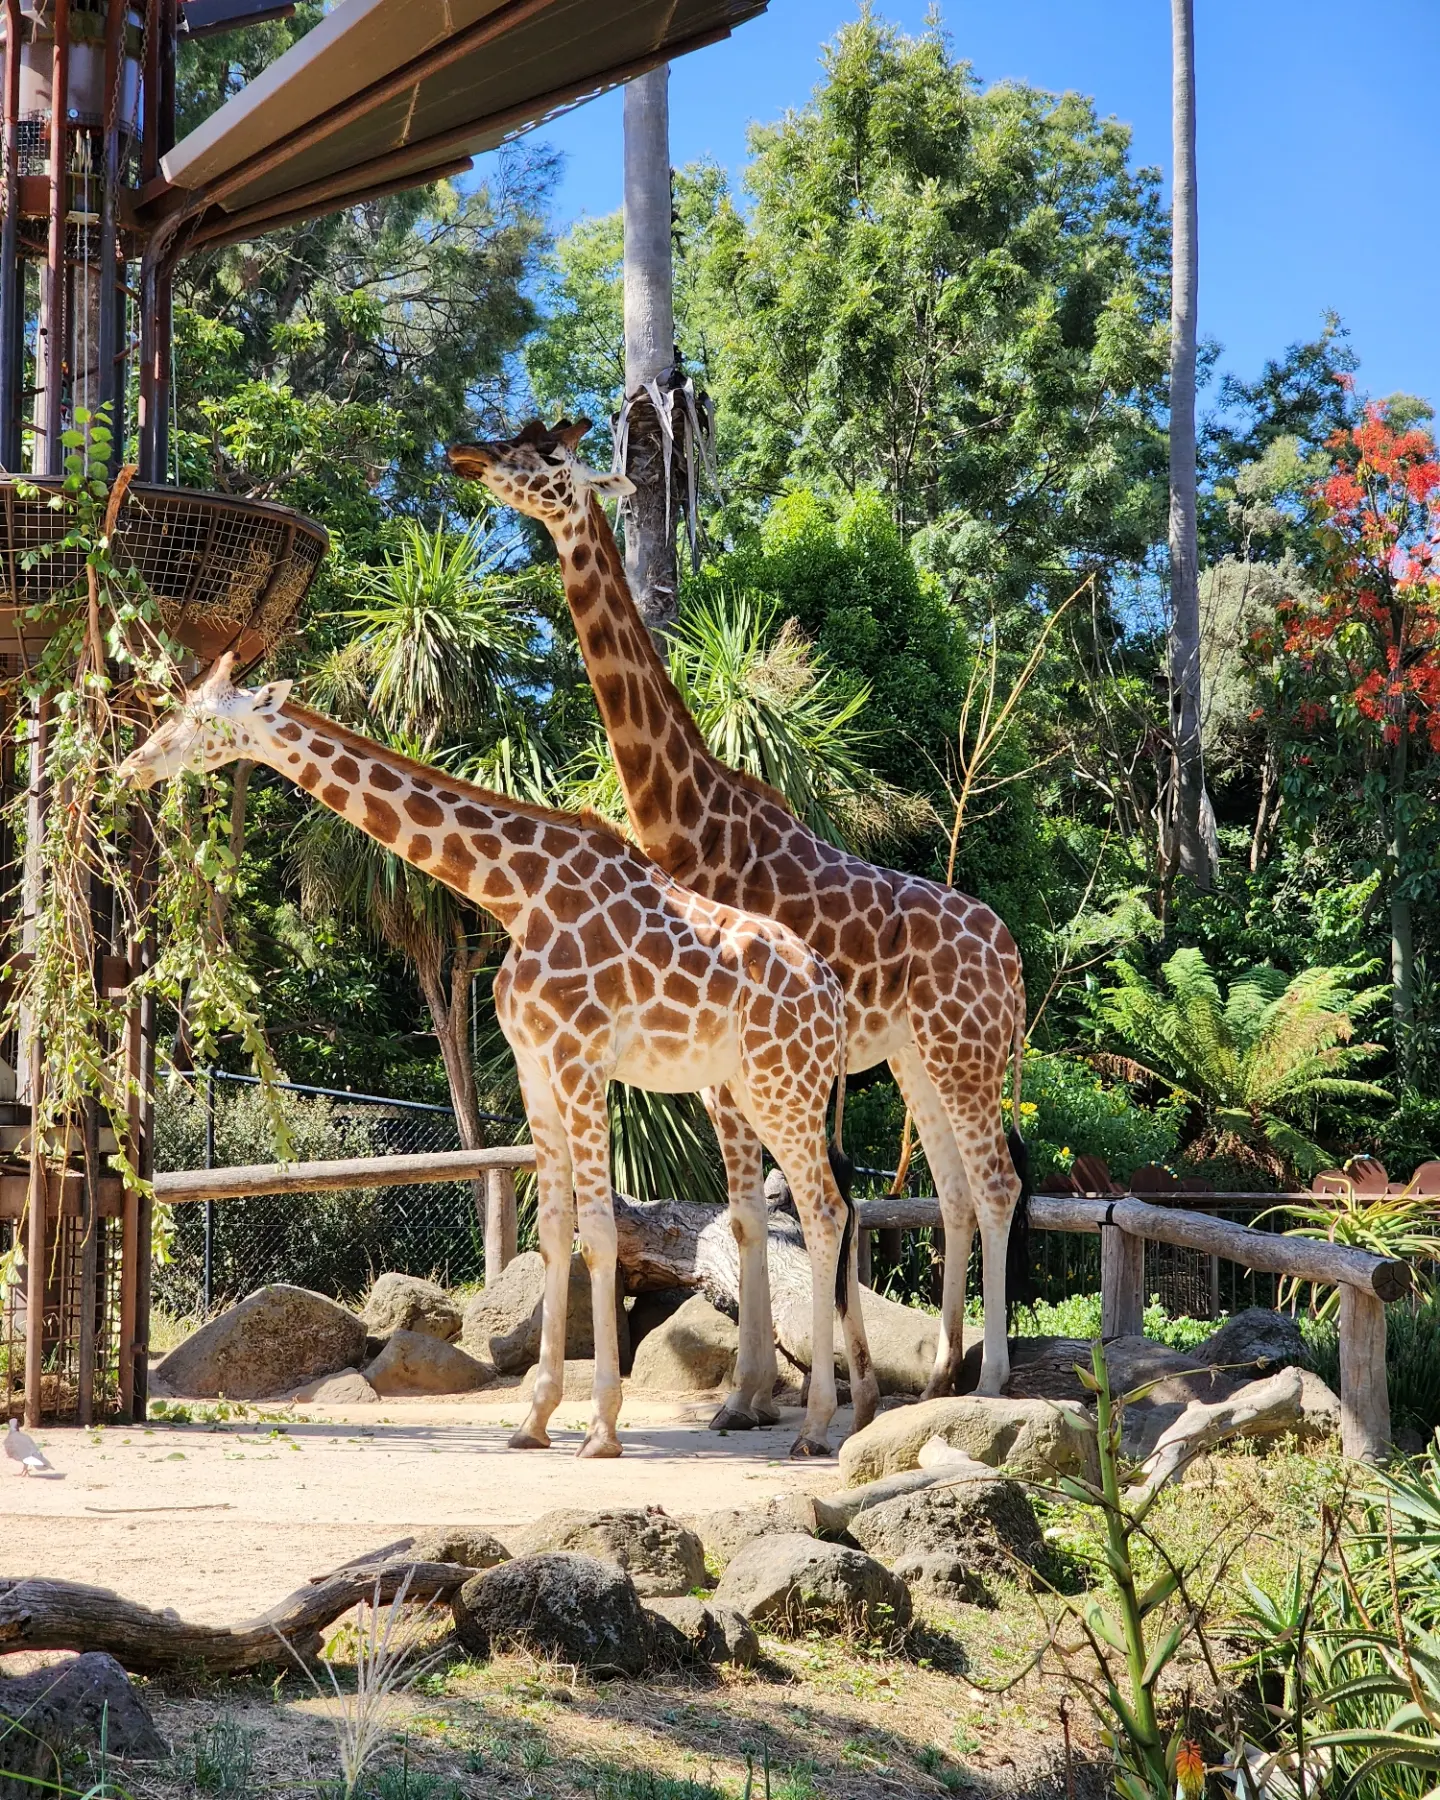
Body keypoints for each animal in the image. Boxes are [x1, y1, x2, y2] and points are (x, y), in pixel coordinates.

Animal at [118, 656, 879, 1458]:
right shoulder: (535, 1067)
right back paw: (846, 1409)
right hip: (767, 1086)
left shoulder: (580, 1058)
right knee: (831, 1207)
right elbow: (551, 1237)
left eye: (203, 718)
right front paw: (534, 1420)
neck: (515, 894)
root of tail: (831, 991)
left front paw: (601, 1429)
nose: (133, 764)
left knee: (824, 1211)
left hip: (781, 1083)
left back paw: (817, 1425)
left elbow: (600, 1234)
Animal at [449, 422, 1030, 1401]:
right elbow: (755, 1213)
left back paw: (989, 1383)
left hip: (965, 1053)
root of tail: (1014, 956)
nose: (469, 458)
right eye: (518, 439)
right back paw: (942, 1374)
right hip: (918, 1058)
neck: (687, 817)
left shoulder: (734, 1061)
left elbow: (757, 1213)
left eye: (553, 460)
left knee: (996, 1186)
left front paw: (754, 1392)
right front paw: (767, 1392)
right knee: (954, 1190)